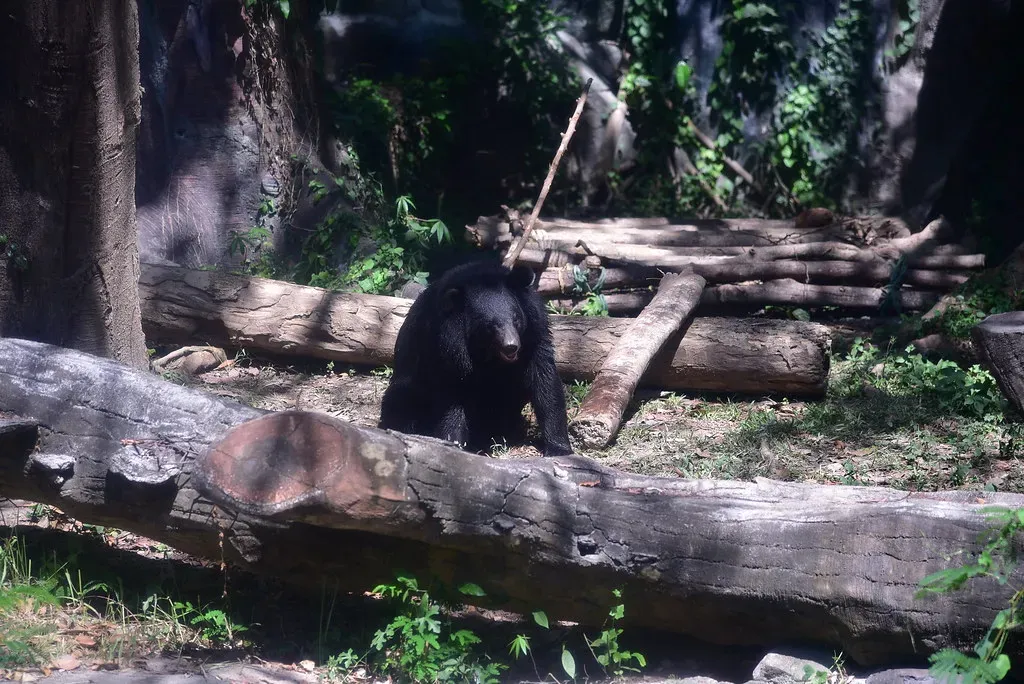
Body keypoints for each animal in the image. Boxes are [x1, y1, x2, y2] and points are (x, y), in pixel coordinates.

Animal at [379, 259, 574, 457]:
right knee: (401, 401)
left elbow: (544, 381)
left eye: (516, 319)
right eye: (491, 326)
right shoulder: (447, 347)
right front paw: (454, 444)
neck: (488, 353)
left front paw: (559, 448)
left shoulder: (534, 335)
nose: (511, 346)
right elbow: (452, 397)